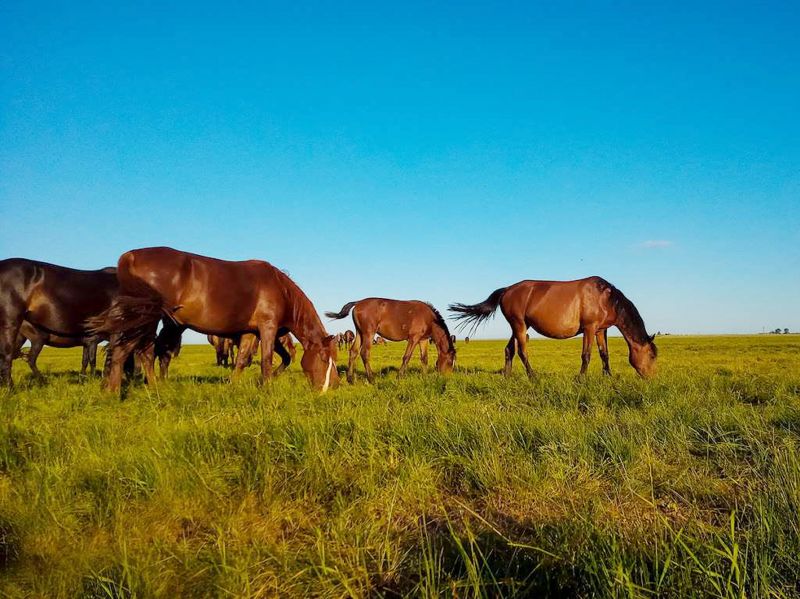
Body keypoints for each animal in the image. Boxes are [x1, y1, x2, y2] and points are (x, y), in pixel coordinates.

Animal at [86, 248, 338, 394]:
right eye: (324, 359)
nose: (332, 386)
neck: (280, 289)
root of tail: (129, 257)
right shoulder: (268, 328)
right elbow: (267, 359)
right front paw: (266, 387)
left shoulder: (251, 332)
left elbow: (244, 359)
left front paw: (234, 385)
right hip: (146, 318)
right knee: (132, 351)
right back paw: (121, 391)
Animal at [322, 296, 454, 384]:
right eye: (450, 362)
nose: (447, 377)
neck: (429, 318)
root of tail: (358, 303)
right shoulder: (413, 338)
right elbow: (406, 357)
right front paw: (399, 377)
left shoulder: (423, 340)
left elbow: (424, 358)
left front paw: (425, 377)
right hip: (368, 333)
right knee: (364, 353)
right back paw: (371, 379)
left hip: (360, 333)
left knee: (353, 351)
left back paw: (350, 379)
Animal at [450, 276, 656, 378]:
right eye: (653, 356)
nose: (651, 378)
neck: (606, 298)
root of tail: (507, 289)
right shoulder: (589, 328)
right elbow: (587, 355)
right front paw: (582, 378)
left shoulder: (600, 330)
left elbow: (604, 354)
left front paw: (608, 377)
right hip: (519, 325)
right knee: (522, 351)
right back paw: (533, 376)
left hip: (518, 327)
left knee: (509, 349)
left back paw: (507, 376)